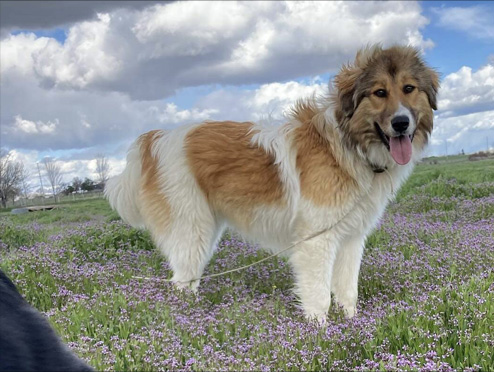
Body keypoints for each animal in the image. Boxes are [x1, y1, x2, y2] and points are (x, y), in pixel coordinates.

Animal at [106, 44, 438, 322]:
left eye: (409, 89)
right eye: (379, 92)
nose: (401, 123)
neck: (347, 145)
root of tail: (155, 139)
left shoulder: (351, 239)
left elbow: (347, 293)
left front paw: (353, 326)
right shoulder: (316, 241)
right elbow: (319, 298)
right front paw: (321, 337)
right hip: (192, 232)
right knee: (181, 283)